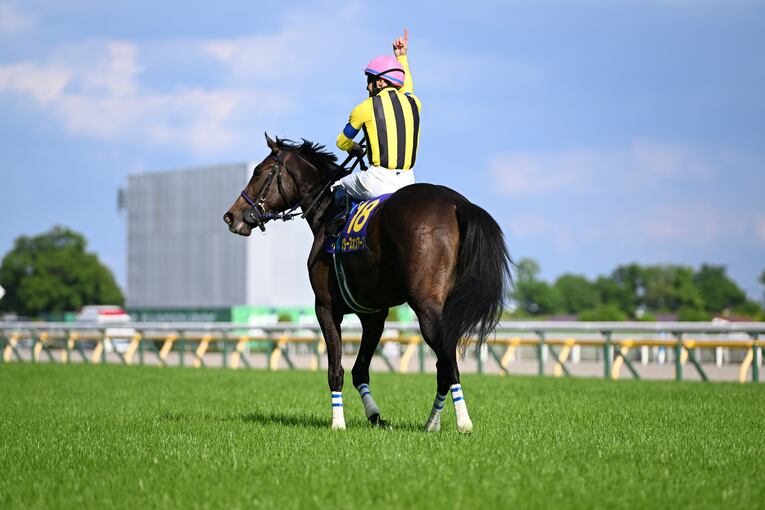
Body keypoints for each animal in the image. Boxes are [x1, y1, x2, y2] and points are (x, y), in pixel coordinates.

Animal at [224, 134, 511, 433]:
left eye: (258, 172)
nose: (231, 216)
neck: (327, 211)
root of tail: (456, 203)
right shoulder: (373, 314)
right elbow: (360, 369)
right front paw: (375, 415)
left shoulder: (325, 308)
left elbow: (335, 370)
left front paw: (338, 423)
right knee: (443, 366)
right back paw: (432, 422)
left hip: (426, 307)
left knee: (447, 363)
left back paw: (462, 422)